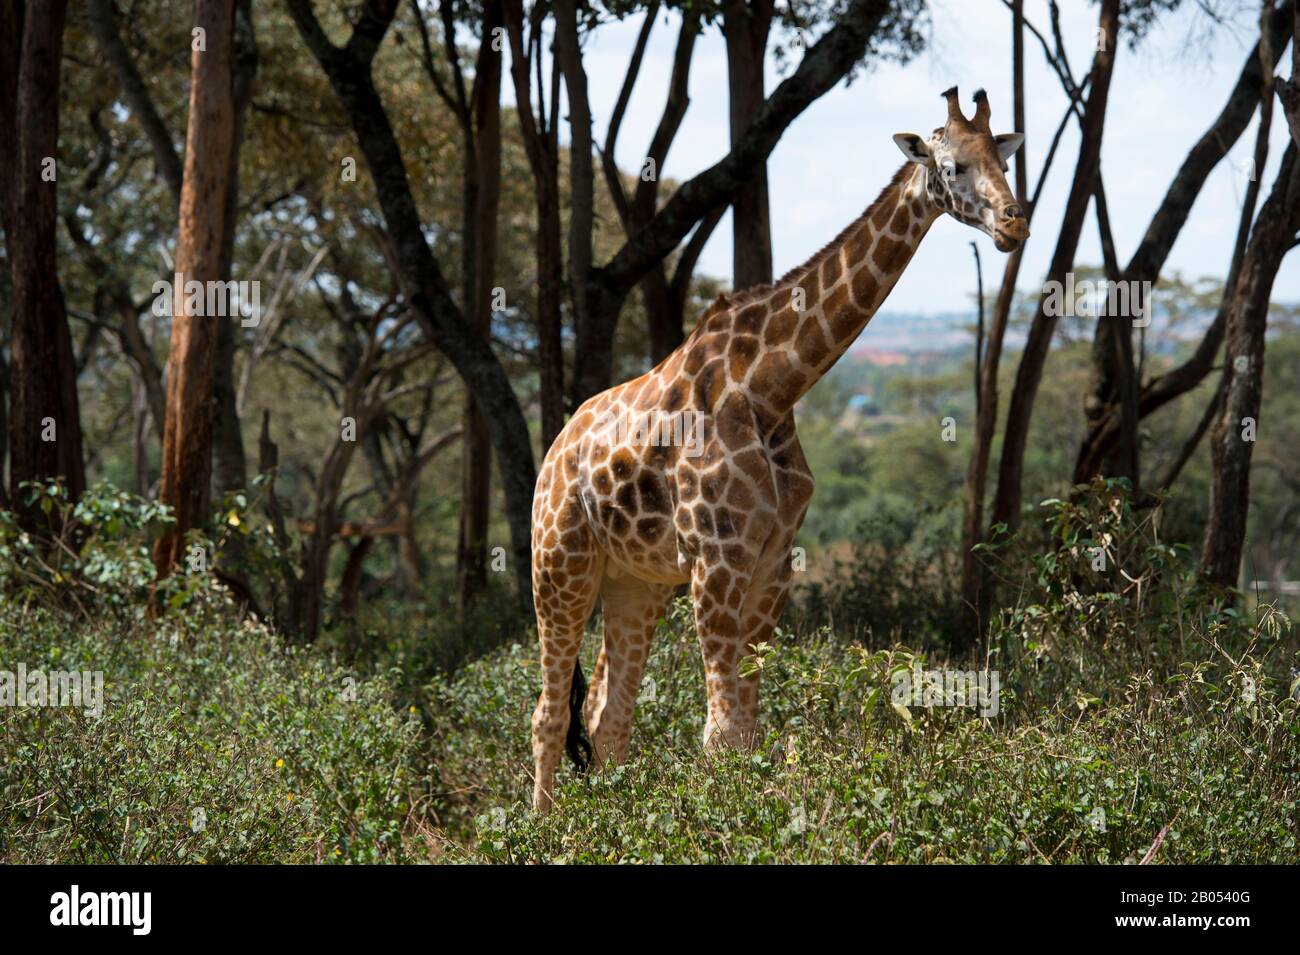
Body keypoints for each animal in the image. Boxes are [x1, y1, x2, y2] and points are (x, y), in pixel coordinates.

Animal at [529, 87, 1028, 810]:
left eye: (1003, 159)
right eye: (951, 165)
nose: (1016, 224)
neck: (770, 389)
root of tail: (554, 451)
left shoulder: (771, 567)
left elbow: (747, 730)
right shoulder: (717, 562)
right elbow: (720, 733)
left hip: (635, 581)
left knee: (604, 714)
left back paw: (606, 821)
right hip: (558, 563)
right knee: (547, 712)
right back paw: (544, 825)